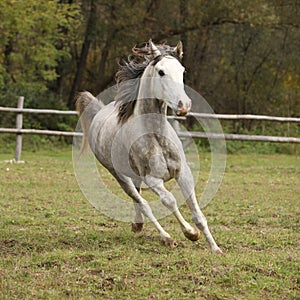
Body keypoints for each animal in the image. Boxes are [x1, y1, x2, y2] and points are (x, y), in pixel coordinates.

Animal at [77, 40, 223, 253]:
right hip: (119, 175)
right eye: (161, 72)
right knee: (142, 202)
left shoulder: (183, 173)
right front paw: (190, 233)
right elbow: (169, 200)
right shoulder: (152, 179)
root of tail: (99, 113)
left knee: (138, 199)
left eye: (182, 70)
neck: (156, 134)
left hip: (135, 175)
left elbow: (198, 214)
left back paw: (138, 225)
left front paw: (215, 248)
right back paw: (166, 237)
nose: (184, 105)